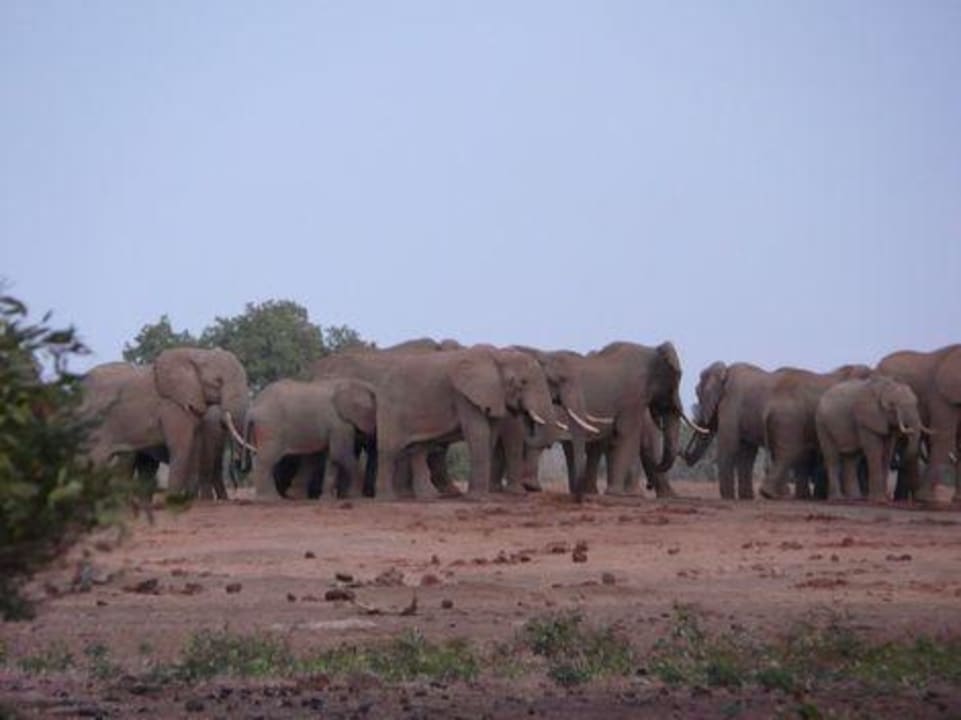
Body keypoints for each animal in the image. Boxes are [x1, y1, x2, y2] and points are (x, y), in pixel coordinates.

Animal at [80, 348, 251, 496]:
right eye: (218, 381)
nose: (239, 463)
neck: (198, 353)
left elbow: (193, 447)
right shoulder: (173, 406)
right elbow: (181, 447)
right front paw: (174, 500)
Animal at [245, 378, 376, 500]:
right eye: (372, 413)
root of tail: (253, 407)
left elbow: (332, 458)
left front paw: (327, 499)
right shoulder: (338, 423)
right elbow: (339, 455)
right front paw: (351, 496)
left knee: (258, 457)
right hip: (271, 426)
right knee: (266, 459)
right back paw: (271, 498)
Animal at [373, 345, 558, 499]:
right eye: (523, 382)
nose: (524, 413)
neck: (497, 356)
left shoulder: (492, 395)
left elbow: (490, 434)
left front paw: (477, 496)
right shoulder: (464, 395)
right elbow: (478, 433)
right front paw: (478, 499)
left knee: (419, 448)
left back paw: (428, 497)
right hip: (390, 407)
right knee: (388, 450)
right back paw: (388, 499)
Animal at [683, 361, 779, 500]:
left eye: (697, 393)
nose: (683, 453)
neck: (724, 372)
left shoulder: (731, 405)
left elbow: (729, 446)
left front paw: (728, 497)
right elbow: (747, 453)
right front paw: (746, 498)